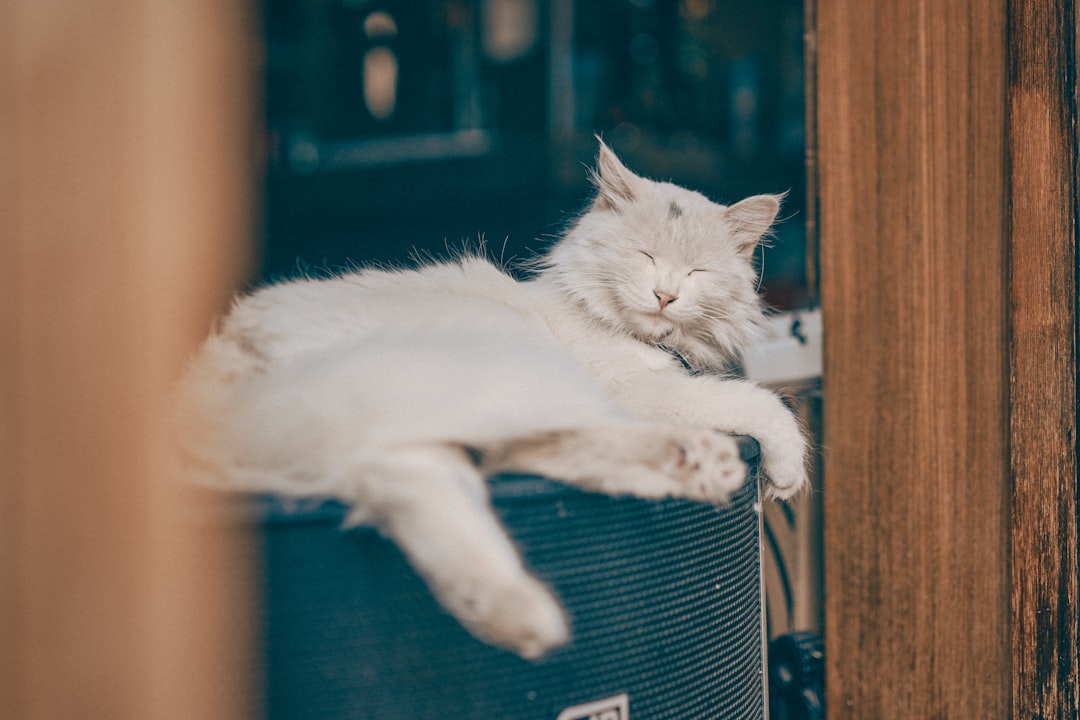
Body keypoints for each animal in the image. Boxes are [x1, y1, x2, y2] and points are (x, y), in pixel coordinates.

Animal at [174, 139, 803, 660]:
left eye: (696, 272)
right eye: (644, 257)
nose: (665, 295)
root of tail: (217, 359)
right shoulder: (637, 390)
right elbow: (754, 403)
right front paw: (786, 468)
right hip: (487, 376)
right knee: (417, 474)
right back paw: (529, 613)